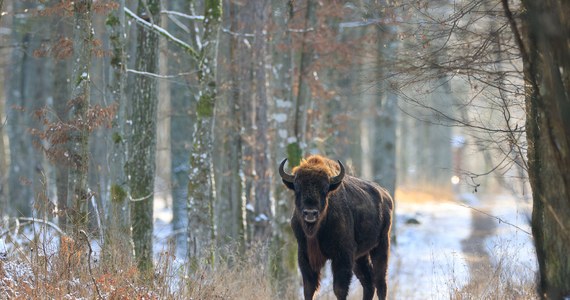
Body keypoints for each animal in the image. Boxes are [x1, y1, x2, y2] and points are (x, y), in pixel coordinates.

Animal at [278, 156, 390, 298]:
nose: (310, 213)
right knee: (368, 281)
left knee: (380, 282)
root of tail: (385, 194)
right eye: (297, 187)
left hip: (381, 246)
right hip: (360, 256)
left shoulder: (342, 256)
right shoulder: (304, 256)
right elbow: (308, 288)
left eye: (325, 188)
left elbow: (339, 289)